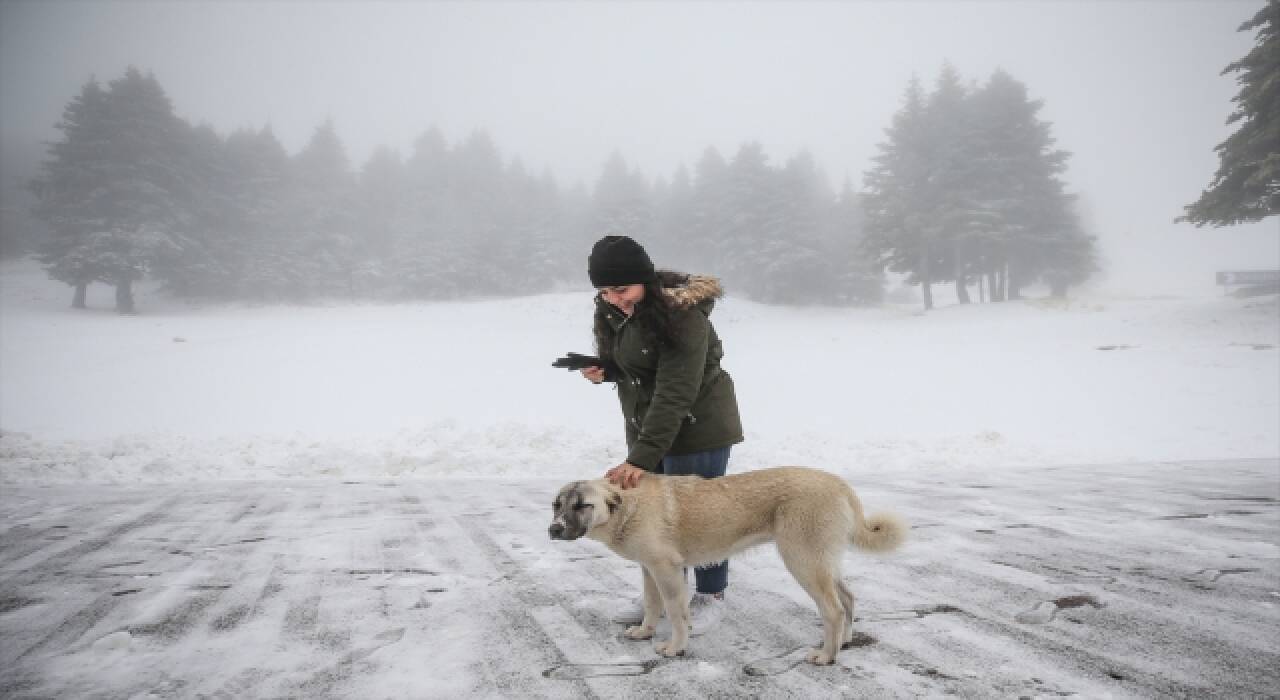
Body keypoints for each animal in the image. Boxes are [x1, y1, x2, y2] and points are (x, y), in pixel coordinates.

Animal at [545, 468, 906, 665]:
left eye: (583, 505)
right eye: (556, 504)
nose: (554, 530)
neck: (627, 508)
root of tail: (838, 482)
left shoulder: (667, 570)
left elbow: (675, 612)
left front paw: (676, 647)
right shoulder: (649, 569)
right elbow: (651, 604)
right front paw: (645, 631)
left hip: (803, 562)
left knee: (833, 610)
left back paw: (827, 656)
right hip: (822, 564)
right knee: (848, 599)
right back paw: (844, 641)